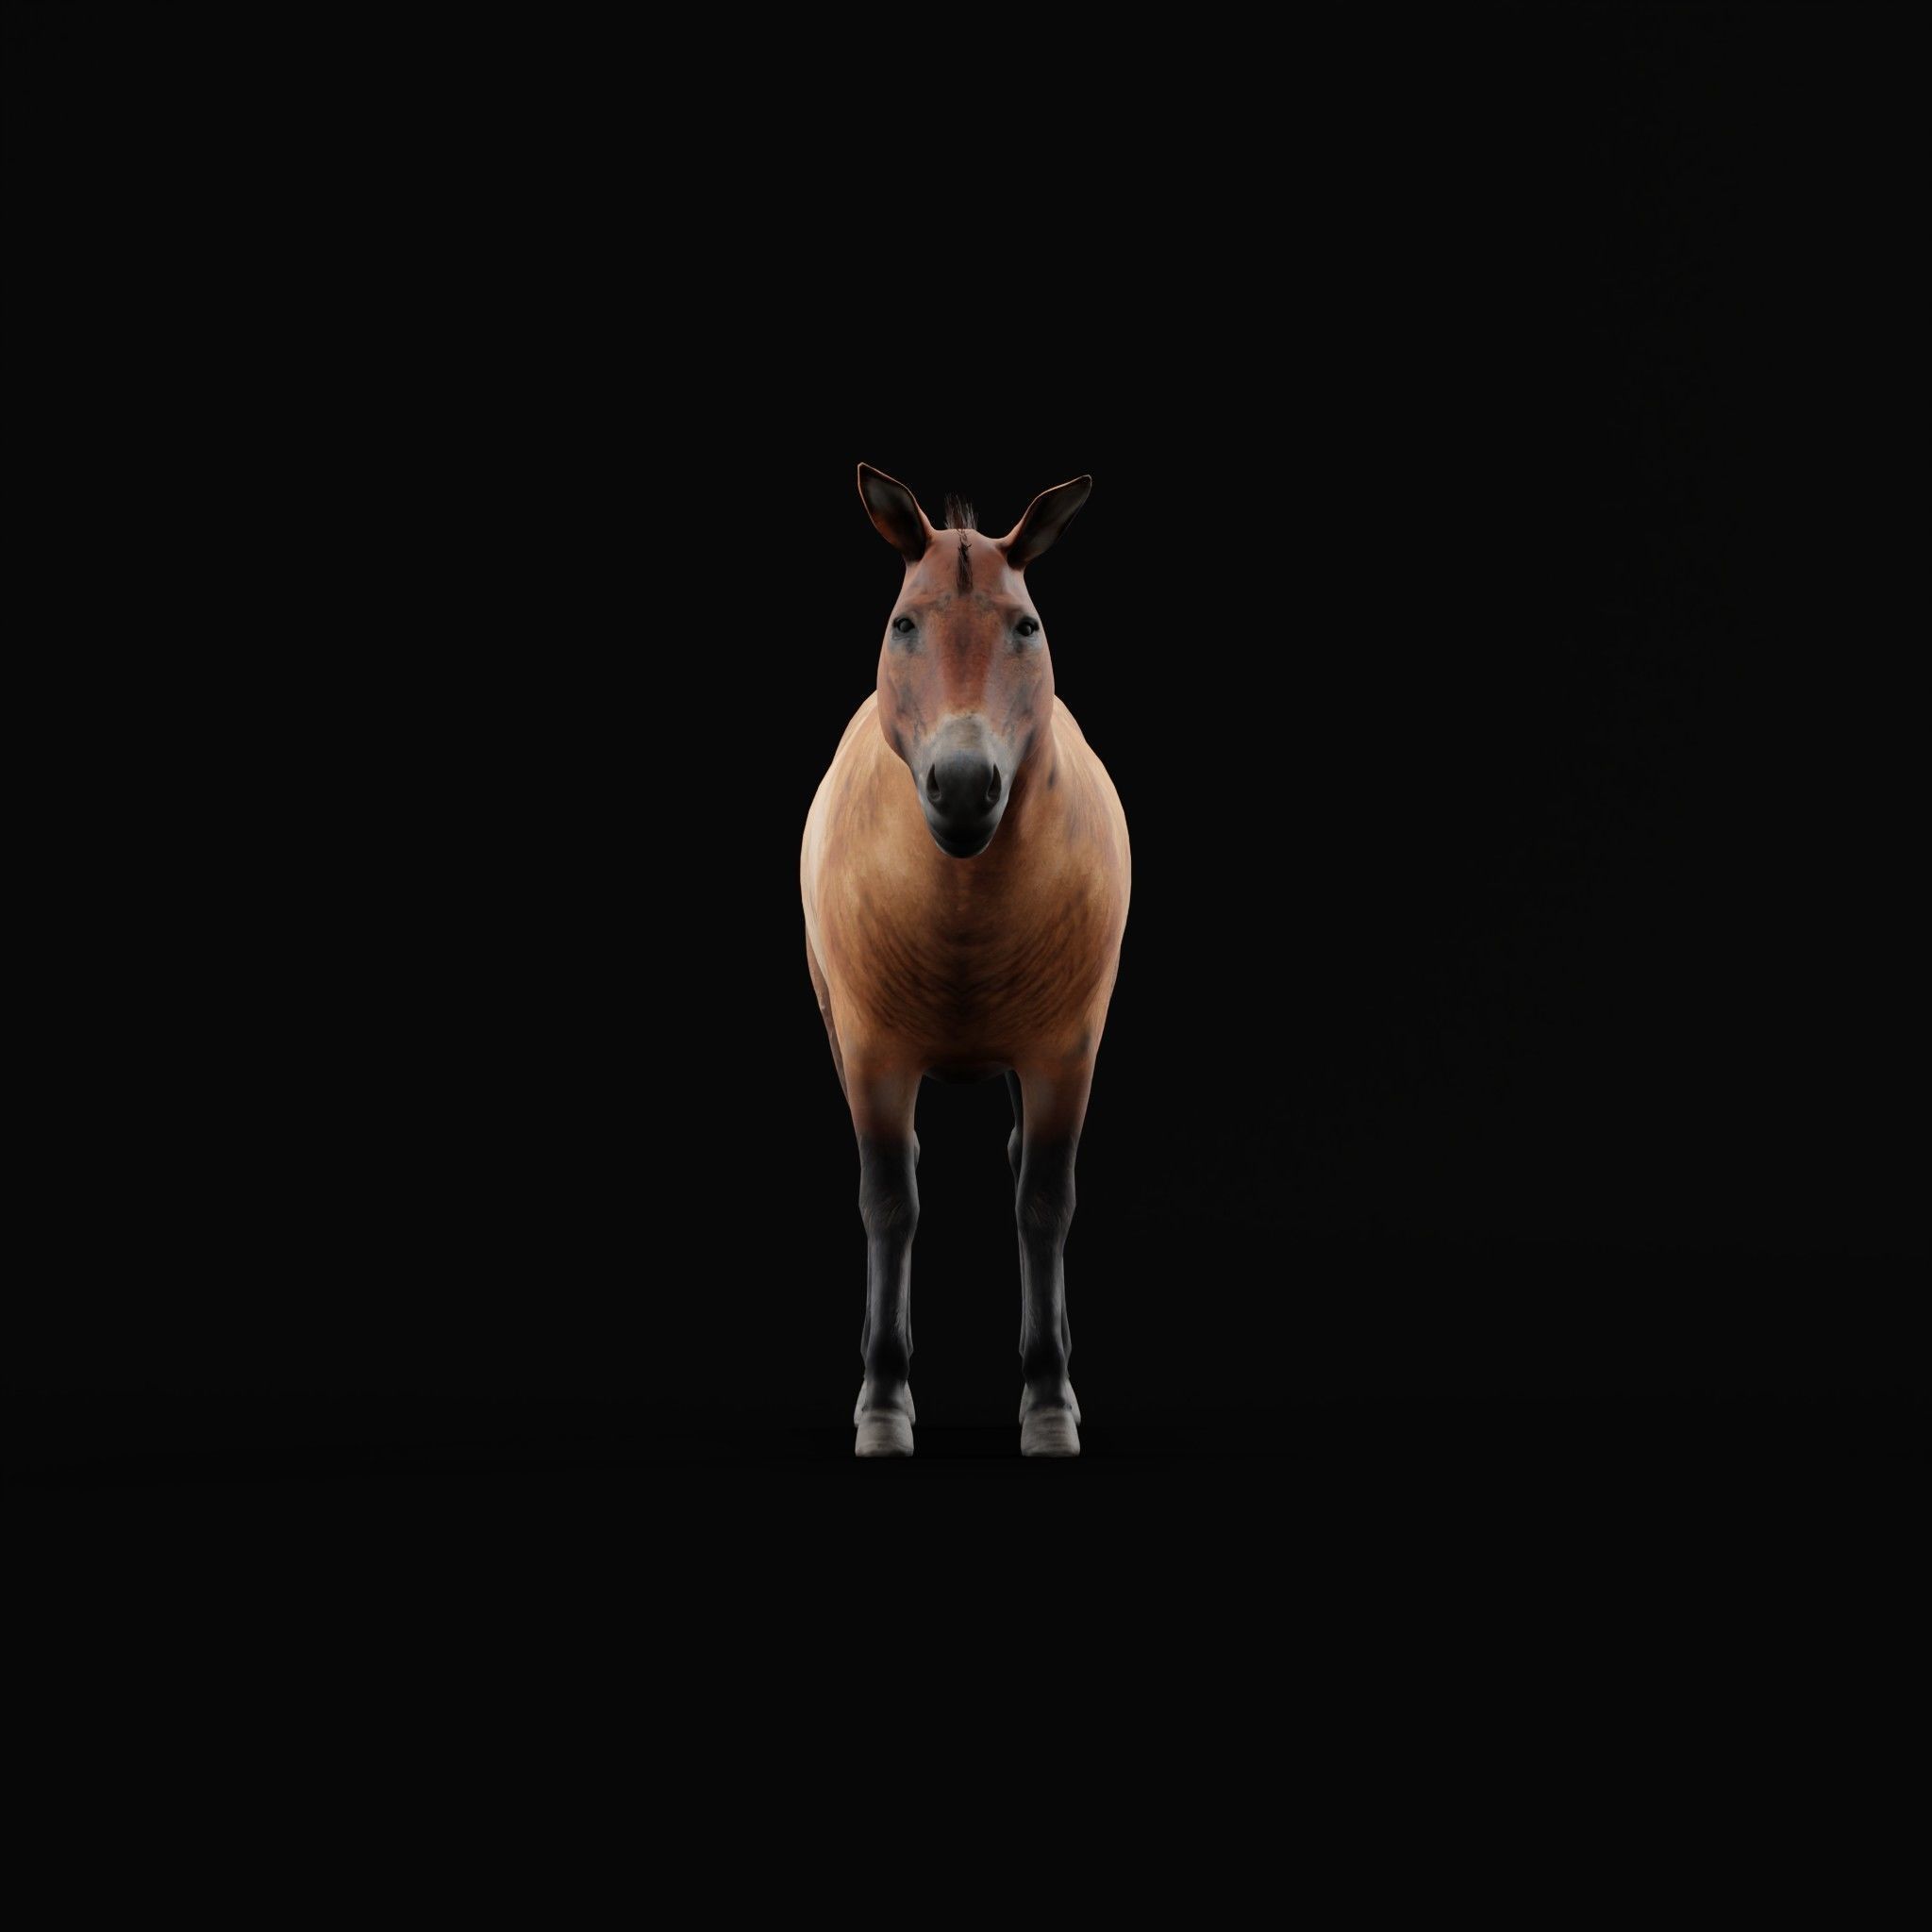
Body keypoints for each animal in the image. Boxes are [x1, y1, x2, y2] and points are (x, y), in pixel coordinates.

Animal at [800, 464, 1131, 1457]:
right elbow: (890, 1202)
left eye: (1027, 626)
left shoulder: (1066, 1051)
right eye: (902, 624)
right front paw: (882, 1403)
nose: (961, 785)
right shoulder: (872, 1054)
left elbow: (1043, 1201)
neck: (963, 904)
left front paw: (1050, 1403)